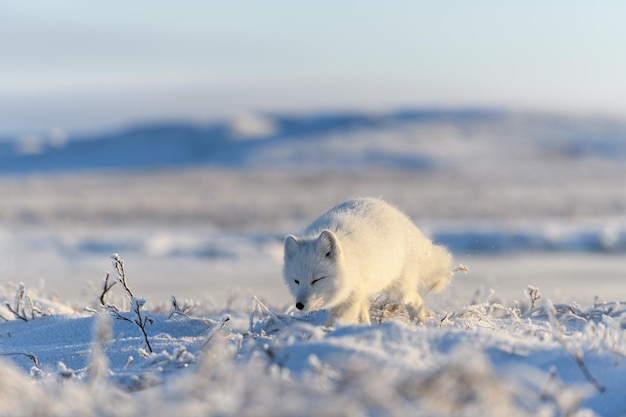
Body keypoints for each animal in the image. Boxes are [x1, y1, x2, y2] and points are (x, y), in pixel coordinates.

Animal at [282, 197, 448, 326]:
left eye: (316, 280)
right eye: (296, 281)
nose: (299, 305)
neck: (349, 262)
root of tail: (402, 218)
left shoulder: (351, 297)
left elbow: (335, 321)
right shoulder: (357, 293)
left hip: (399, 289)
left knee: (416, 301)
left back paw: (421, 324)